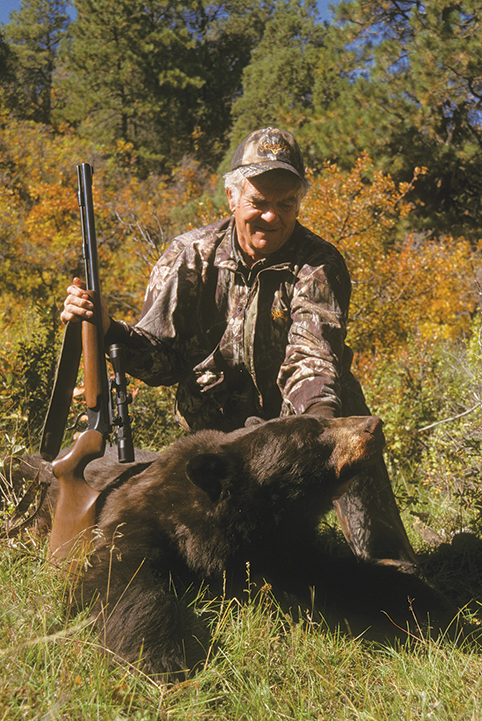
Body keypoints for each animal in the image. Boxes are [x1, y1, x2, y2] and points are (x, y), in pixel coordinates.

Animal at [66, 414, 454, 676]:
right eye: (314, 432)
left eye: (324, 420)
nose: (374, 423)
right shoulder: (138, 520)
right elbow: (124, 581)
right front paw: (158, 659)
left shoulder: (286, 548)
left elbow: (342, 574)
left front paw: (421, 597)